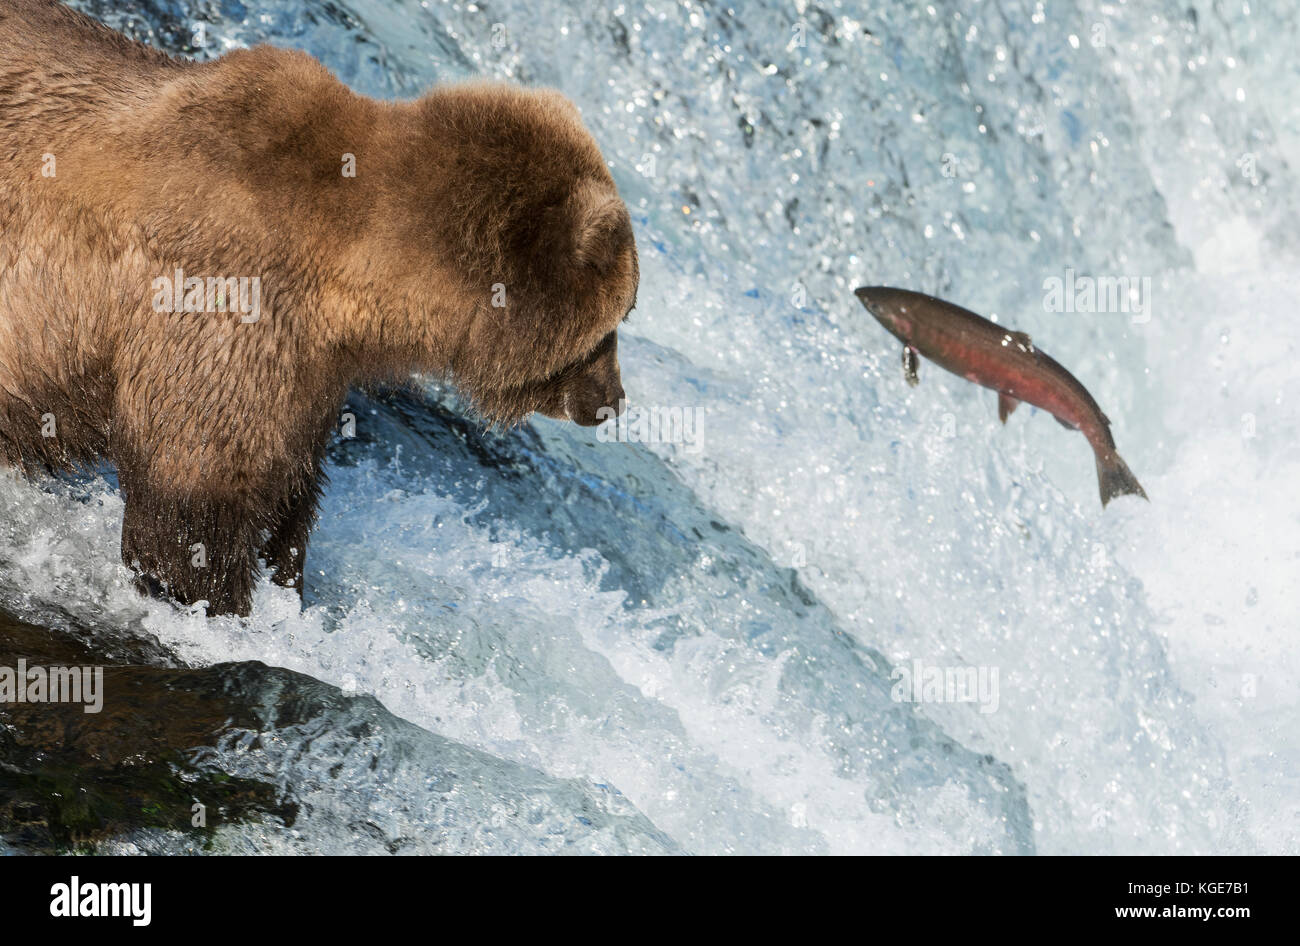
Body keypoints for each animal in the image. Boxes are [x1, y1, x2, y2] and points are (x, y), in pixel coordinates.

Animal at [0, 0, 634, 615]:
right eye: (611, 327)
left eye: (623, 316)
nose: (613, 399)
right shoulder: (220, 316)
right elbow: (192, 510)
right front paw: (229, 610)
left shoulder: (310, 370)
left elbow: (290, 489)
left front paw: (287, 581)